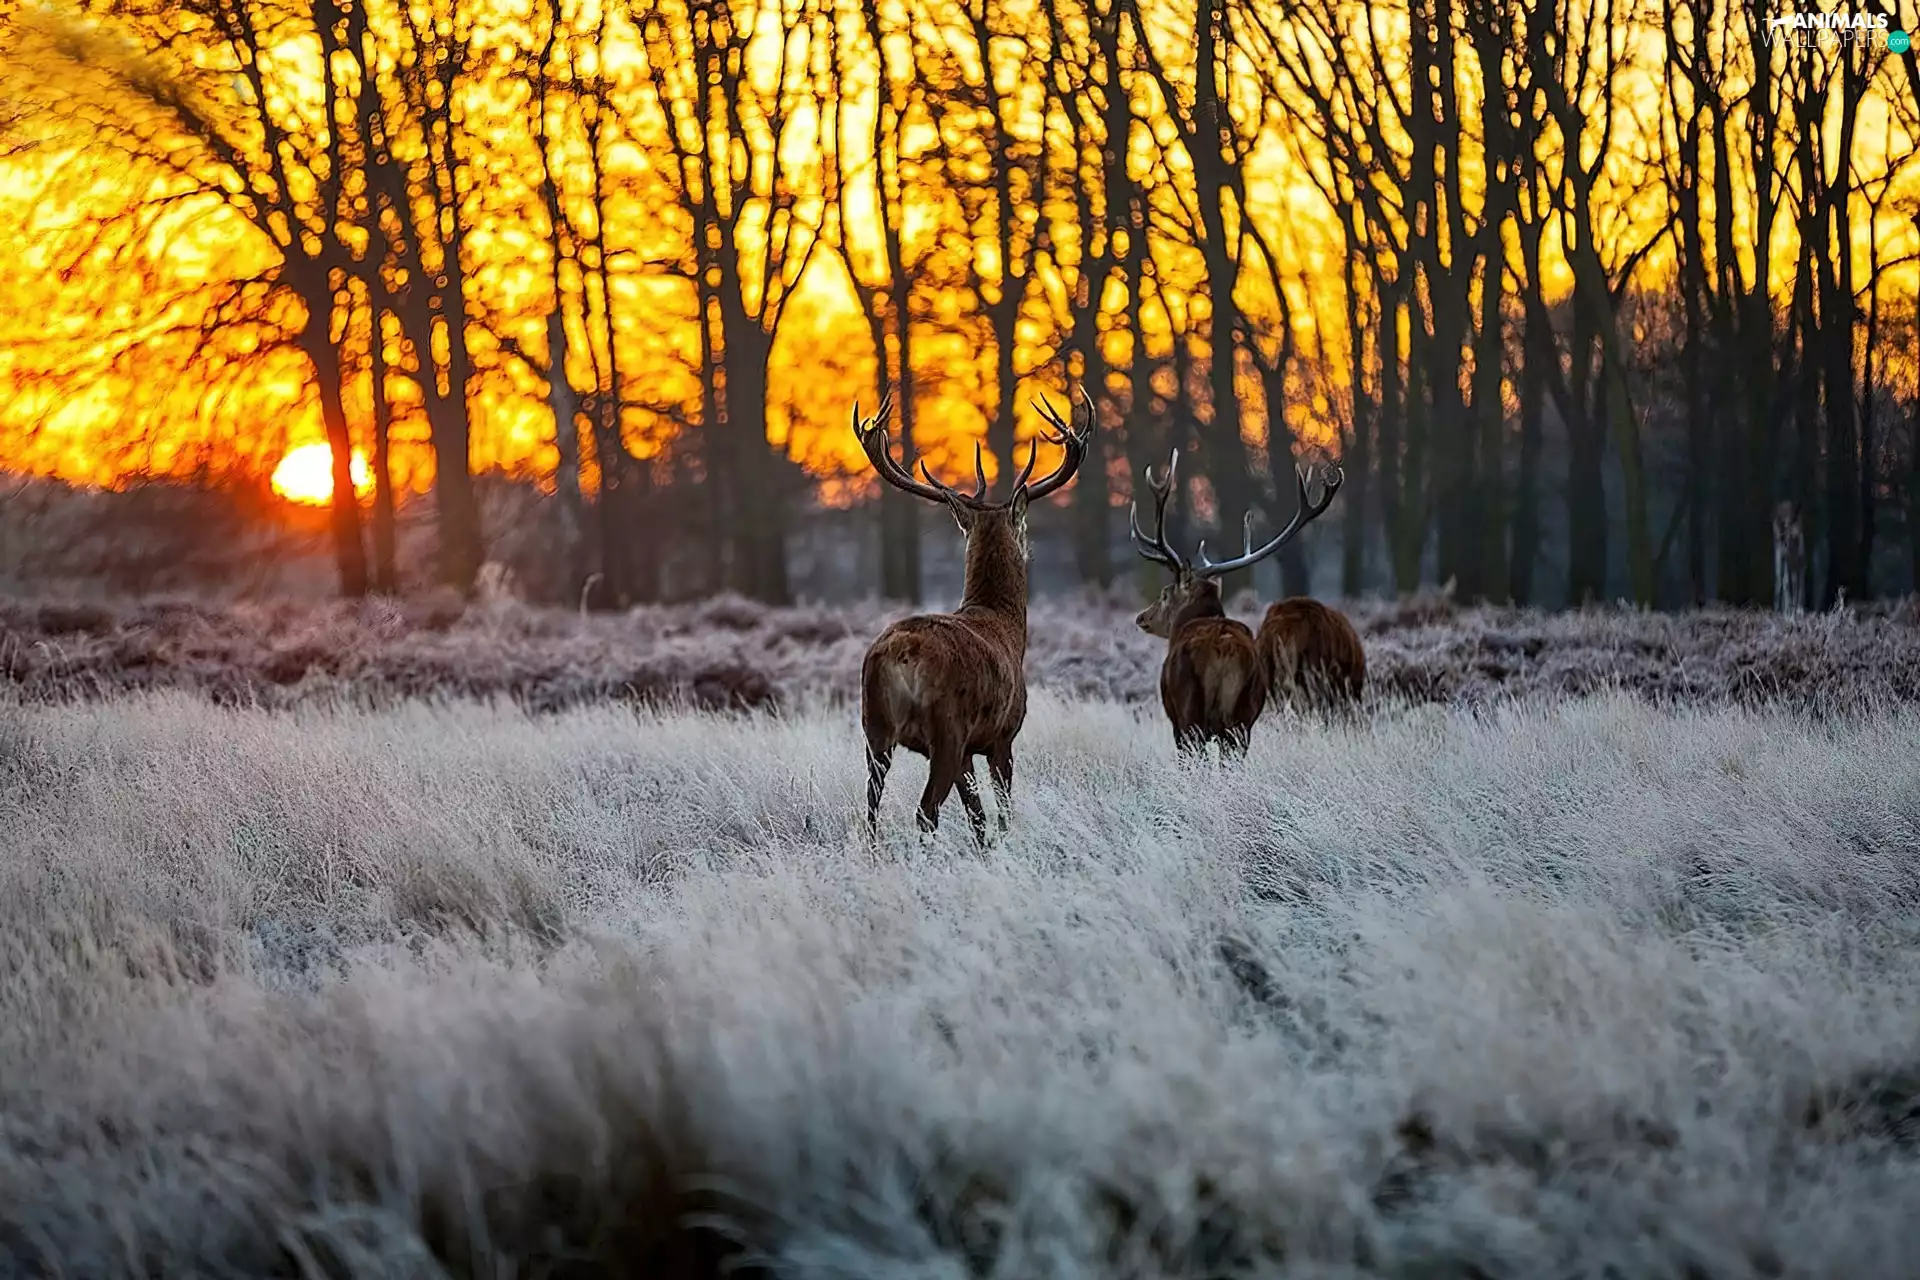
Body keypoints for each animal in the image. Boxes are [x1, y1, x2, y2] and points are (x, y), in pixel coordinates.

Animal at [855, 387, 1094, 843]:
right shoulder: (1002, 736)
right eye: (1023, 528)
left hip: (873, 727)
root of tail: (897, 655)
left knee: (869, 812)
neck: (1007, 627)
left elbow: (977, 815)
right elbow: (1000, 812)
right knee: (925, 812)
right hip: (945, 728)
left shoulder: (969, 749)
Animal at [1130, 450, 1346, 755]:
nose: (1142, 617)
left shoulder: (1176, 722)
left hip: (1191, 715)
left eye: (1164, 594)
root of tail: (1224, 651)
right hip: (1243, 718)